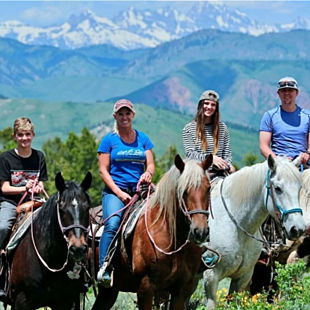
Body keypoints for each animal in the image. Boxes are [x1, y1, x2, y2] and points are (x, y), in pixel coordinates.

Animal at [92, 154, 213, 310]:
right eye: (184, 190)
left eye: (208, 188)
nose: (200, 231)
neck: (173, 239)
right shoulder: (146, 288)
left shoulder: (181, 290)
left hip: (109, 292)